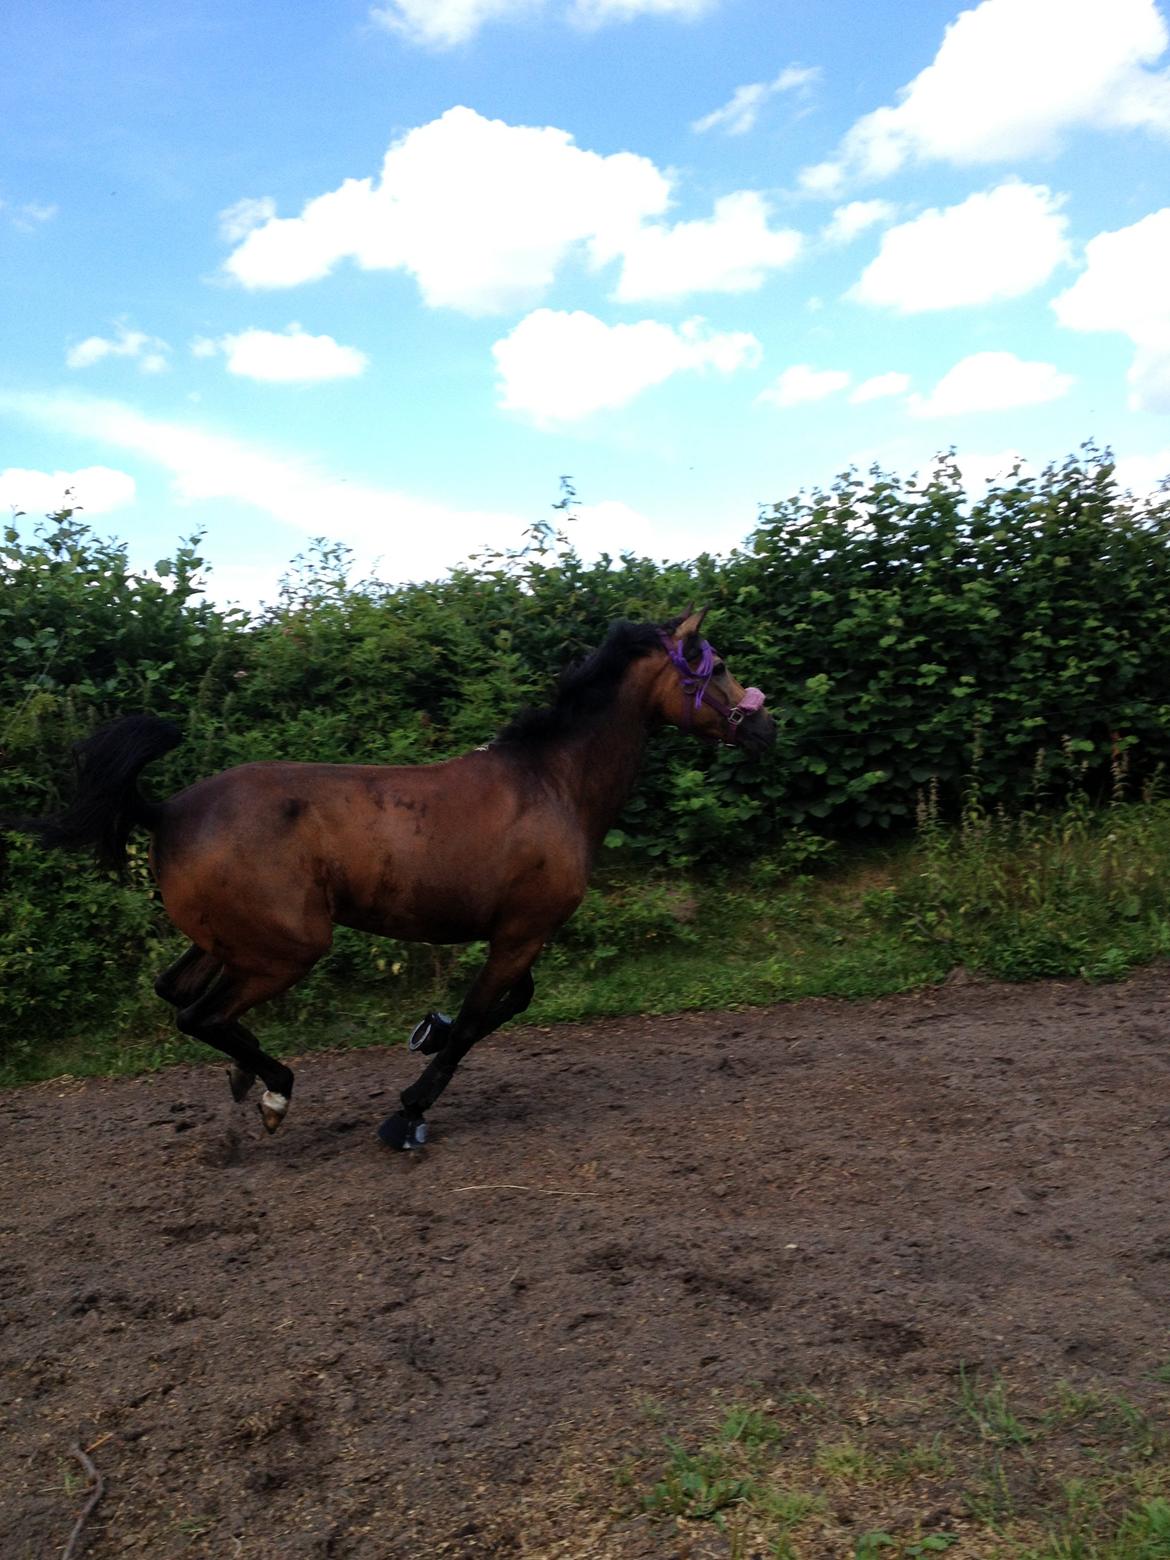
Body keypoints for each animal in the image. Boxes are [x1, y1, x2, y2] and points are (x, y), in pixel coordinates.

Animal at [9, 609, 775, 1149]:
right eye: (717, 665)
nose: (765, 729)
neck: (552, 782)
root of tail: (165, 809)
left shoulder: (517, 931)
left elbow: (503, 1007)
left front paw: (427, 1033)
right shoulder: (521, 933)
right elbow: (477, 1022)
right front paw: (408, 1111)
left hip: (232, 941)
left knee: (182, 996)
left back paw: (246, 1076)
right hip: (287, 947)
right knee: (199, 1014)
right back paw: (275, 1091)